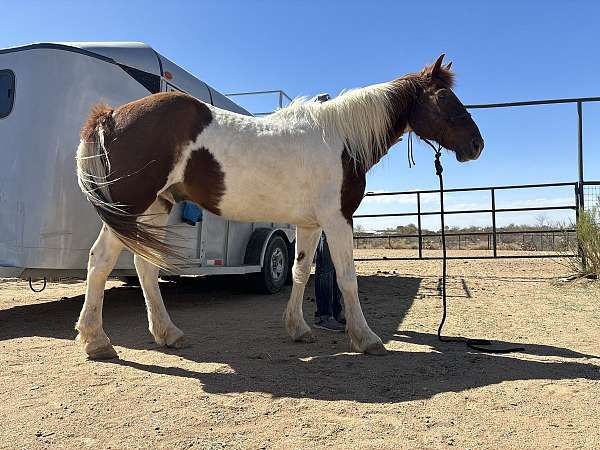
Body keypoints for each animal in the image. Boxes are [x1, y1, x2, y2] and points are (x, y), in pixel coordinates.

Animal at [77, 54, 486, 360]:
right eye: (444, 98)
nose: (476, 145)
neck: (340, 138)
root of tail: (110, 116)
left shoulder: (310, 225)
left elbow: (300, 272)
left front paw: (299, 329)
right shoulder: (338, 219)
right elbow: (346, 278)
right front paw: (366, 338)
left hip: (156, 208)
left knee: (145, 267)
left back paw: (168, 333)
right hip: (130, 208)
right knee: (101, 260)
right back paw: (96, 340)